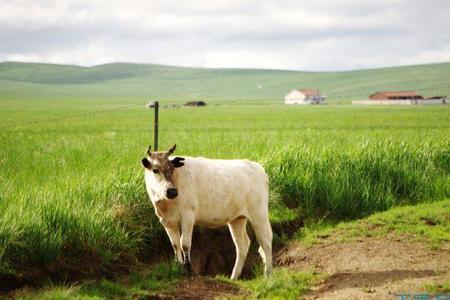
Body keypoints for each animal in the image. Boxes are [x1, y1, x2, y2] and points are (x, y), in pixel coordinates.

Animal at [142, 144, 272, 280]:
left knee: (266, 241)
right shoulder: (168, 222)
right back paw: (234, 277)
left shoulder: (188, 216)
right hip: (237, 219)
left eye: (172, 168)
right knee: (242, 245)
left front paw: (188, 268)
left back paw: (268, 274)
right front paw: (179, 266)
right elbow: (175, 244)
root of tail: (258, 167)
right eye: (155, 170)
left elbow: (185, 243)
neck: (165, 204)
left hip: (259, 215)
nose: (172, 191)